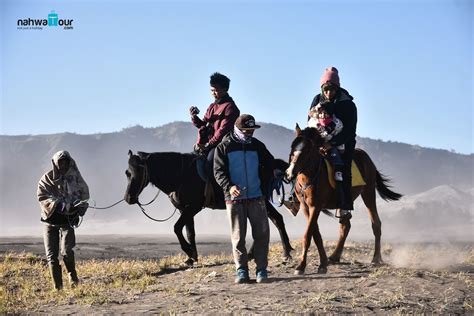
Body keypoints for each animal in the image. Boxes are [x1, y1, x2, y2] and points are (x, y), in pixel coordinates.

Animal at [123, 150, 292, 264]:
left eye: (139, 171)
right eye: (127, 173)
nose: (128, 198)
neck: (181, 175)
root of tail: (270, 165)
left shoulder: (193, 207)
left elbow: (177, 228)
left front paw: (189, 251)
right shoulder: (184, 209)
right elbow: (190, 232)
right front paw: (192, 257)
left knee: (271, 221)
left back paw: (284, 252)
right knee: (274, 220)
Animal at [286, 124, 404, 276]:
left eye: (307, 150)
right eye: (293, 147)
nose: (290, 173)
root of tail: (366, 157)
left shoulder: (315, 206)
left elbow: (308, 235)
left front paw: (301, 266)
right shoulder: (306, 207)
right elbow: (315, 234)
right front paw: (322, 263)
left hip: (368, 193)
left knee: (376, 223)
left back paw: (376, 258)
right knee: (345, 225)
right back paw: (334, 257)